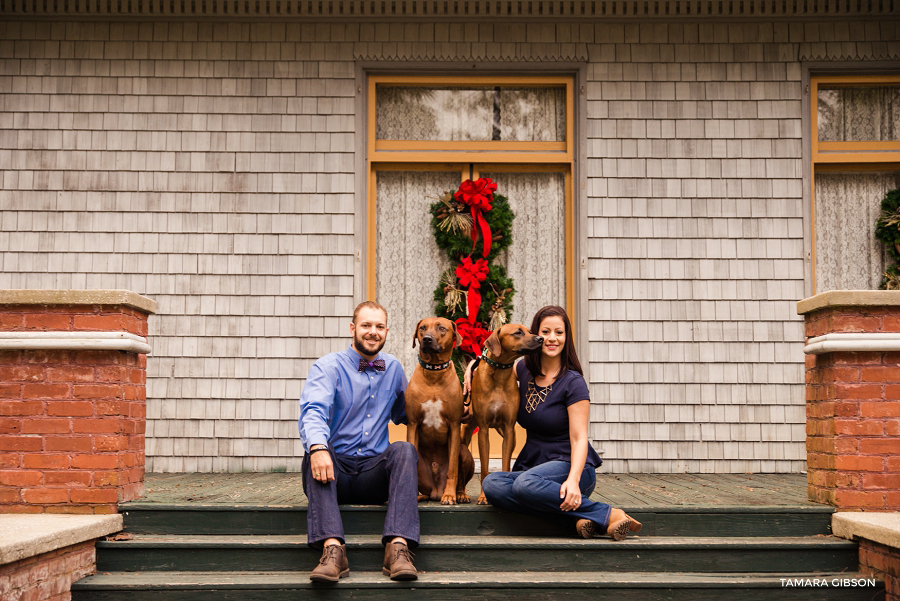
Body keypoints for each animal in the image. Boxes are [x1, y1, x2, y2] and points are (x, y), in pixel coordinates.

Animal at [408, 316, 478, 504]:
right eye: (423, 328)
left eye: (441, 328)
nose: (427, 339)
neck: (434, 373)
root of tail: (435, 491)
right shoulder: (413, 424)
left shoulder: (454, 425)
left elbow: (453, 468)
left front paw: (450, 495)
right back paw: (419, 496)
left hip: (465, 452)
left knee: (461, 479)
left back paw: (459, 494)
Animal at [464, 324, 540, 502]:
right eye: (518, 332)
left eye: (530, 331)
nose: (541, 339)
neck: (499, 375)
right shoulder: (483, 430)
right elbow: (484, 468)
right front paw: (483, 497)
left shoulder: (509, 428)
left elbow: (506, 464)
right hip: (464, 432)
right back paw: (460, 493)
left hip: (510, 436)